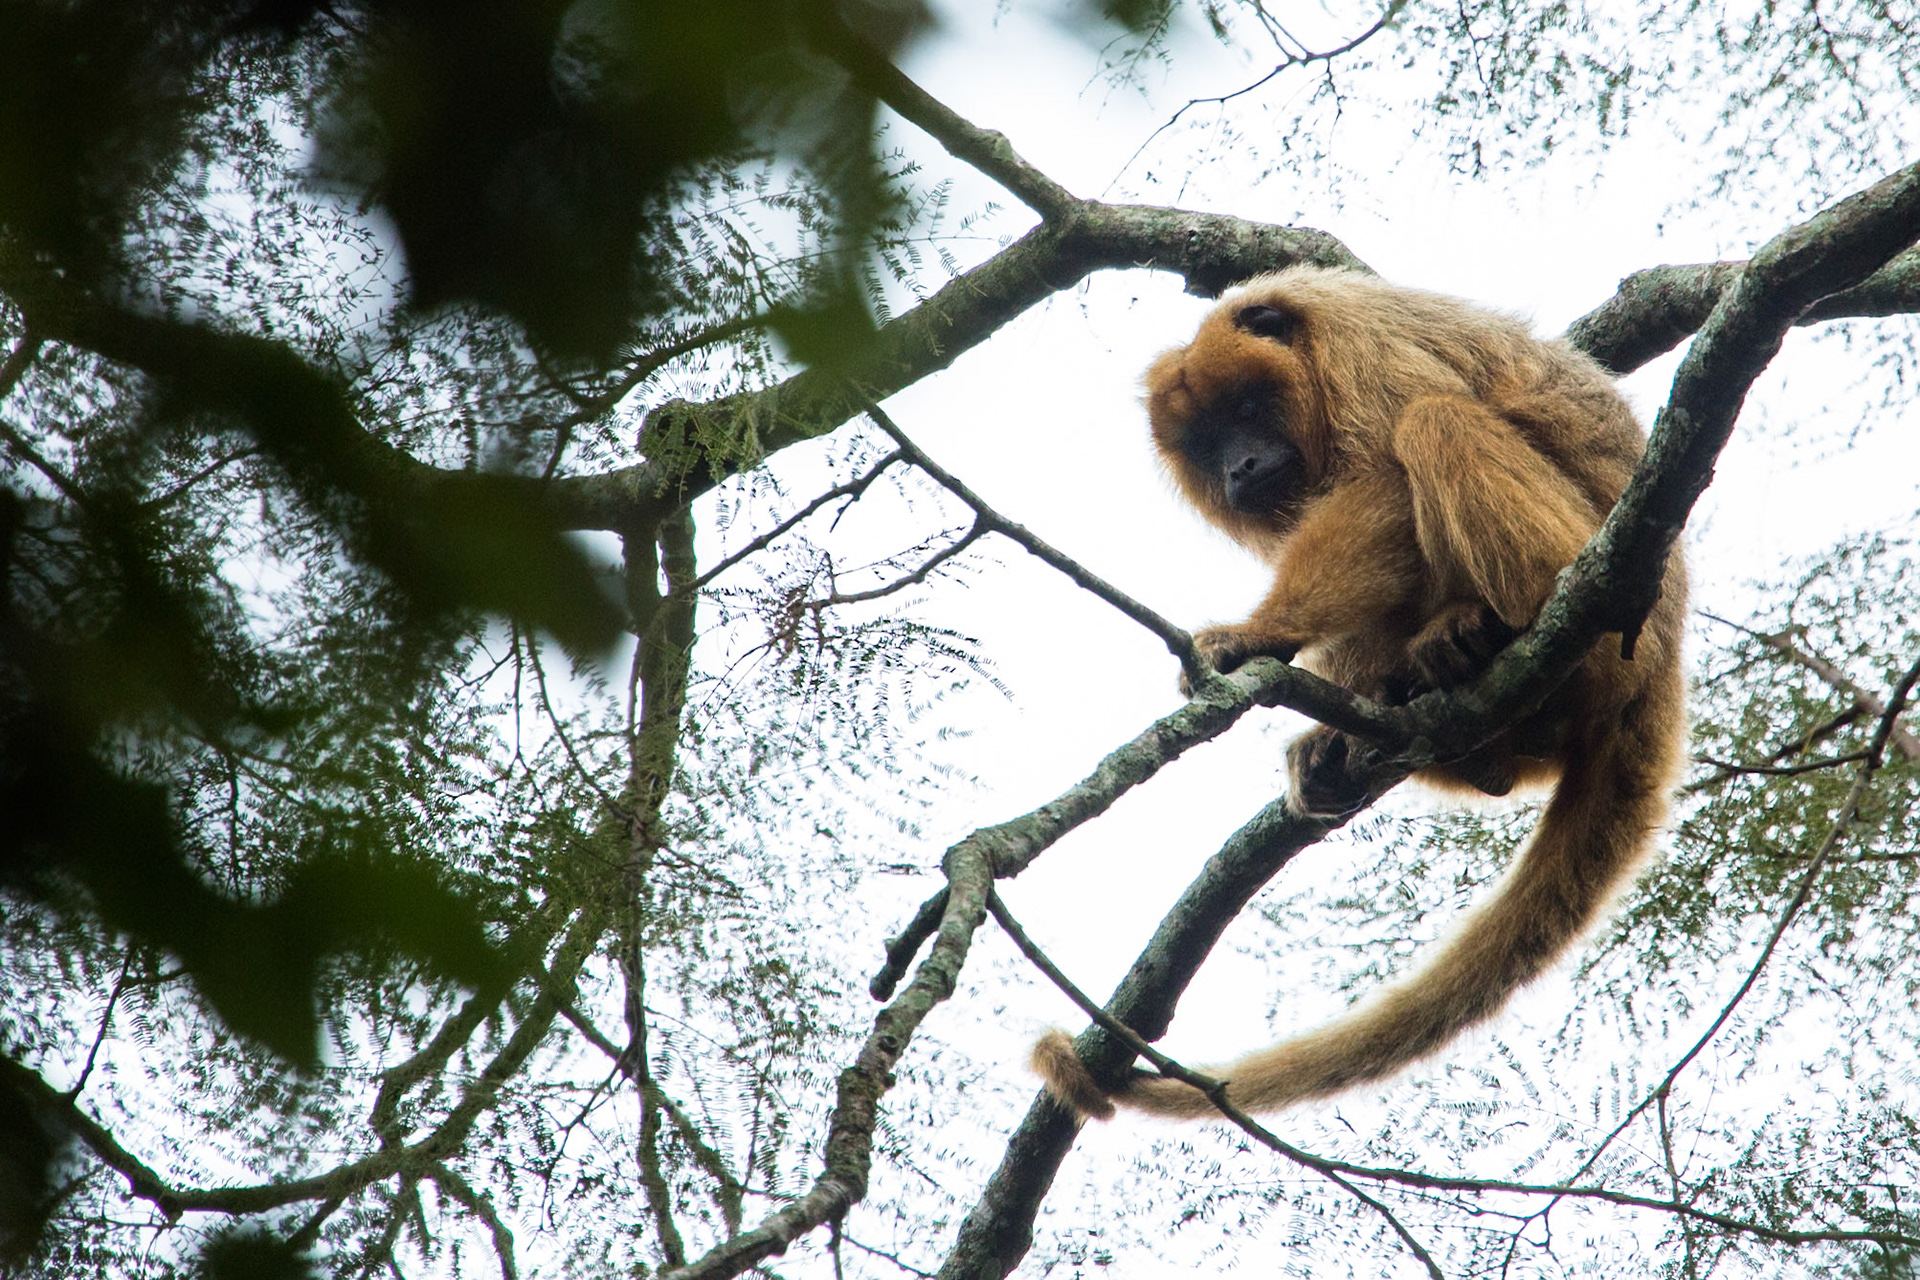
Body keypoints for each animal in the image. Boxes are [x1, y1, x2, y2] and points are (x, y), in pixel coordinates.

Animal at [1032, 266, 1687, 1122]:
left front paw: (1259, 635)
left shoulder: (1359, 347)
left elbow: (1382, 479)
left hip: (1615, 618)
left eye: (1246, 412)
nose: (1240, 467)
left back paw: (1497, 632)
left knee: (1436, 422)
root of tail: (1665, 655)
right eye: (1207, 443)